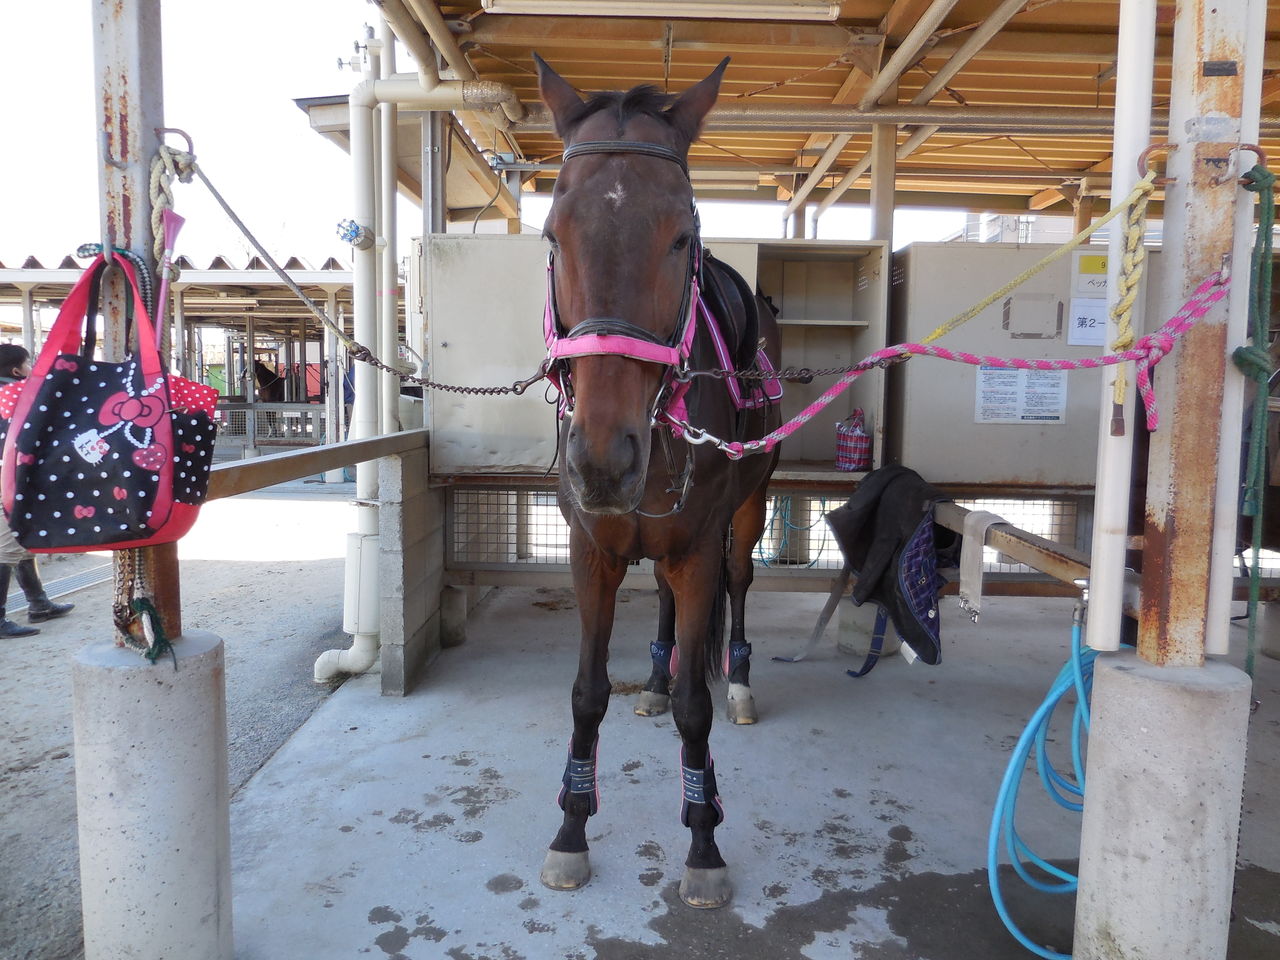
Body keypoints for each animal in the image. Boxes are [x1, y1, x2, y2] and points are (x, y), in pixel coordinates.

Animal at [534, 55, 782, 909]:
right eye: (554, 234)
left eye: (682, 237)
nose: (604, 459)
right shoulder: (592, 552)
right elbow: (584, 693)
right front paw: (571, 829)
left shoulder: (699, 548)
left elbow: (693, 708)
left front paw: (704, 841)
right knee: (669, 615)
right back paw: (653, 669)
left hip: (745, 513)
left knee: (737, 588)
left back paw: (739, 680)